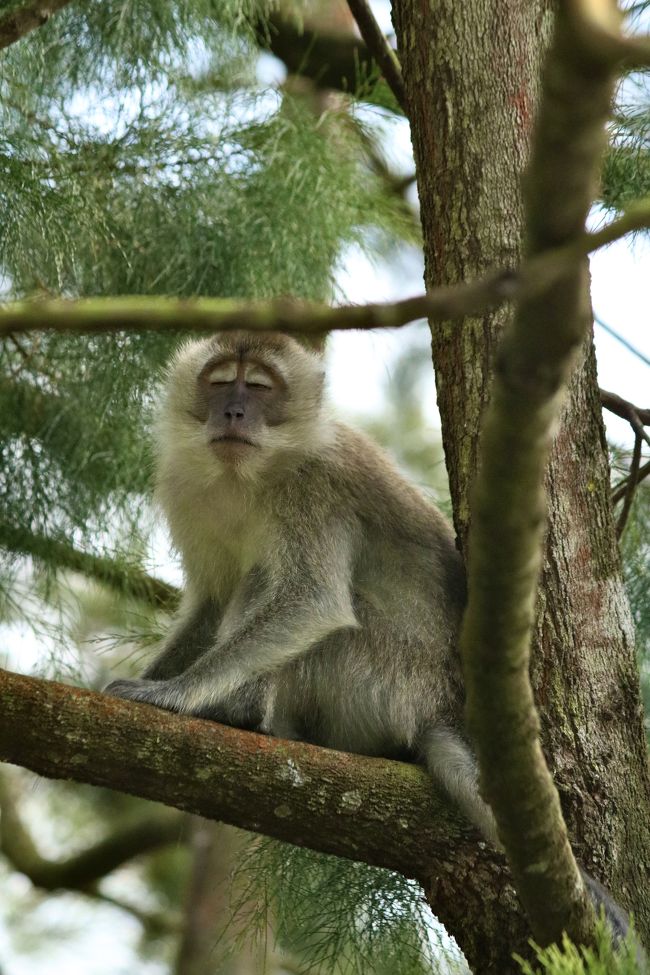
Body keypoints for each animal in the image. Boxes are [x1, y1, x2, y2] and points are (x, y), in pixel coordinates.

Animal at [104, 332, 640, 956]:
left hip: (373, 681)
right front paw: (153, 679)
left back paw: (236, 708)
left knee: (285, 591)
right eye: (219, 382)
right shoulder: (190, 488)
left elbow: (313, 601)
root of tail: (439, 706)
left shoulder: (316, 489)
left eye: (258, 387)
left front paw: (177, 694)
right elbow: (212, 602)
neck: (248, 475)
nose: (233, 412)